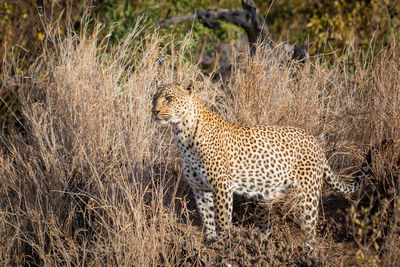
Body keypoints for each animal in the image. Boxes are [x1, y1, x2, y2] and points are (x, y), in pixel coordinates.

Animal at [152, 81, 368, 245]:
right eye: (155, 98)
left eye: (169, 98)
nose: (154, 111)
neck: (182, 134)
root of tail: (315, 142)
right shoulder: (199, 188)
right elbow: (208, 218)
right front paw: (210, 241)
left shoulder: (221, 185)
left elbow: (222, 217)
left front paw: (224, 242)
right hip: (264, 198)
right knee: (267, 224)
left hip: (308, 196)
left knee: (310, 231)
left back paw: (308, 253)